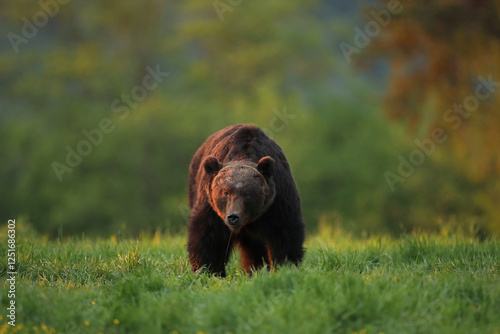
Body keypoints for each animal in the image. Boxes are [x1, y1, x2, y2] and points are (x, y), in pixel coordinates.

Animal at [188, 124, 304, 276]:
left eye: (247, 194)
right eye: (225, 193)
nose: (233, 217)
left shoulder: (277, 202)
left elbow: (285, 234)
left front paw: (285, 267)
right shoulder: (211, 208)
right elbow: (208, 237)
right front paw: (209, 271)